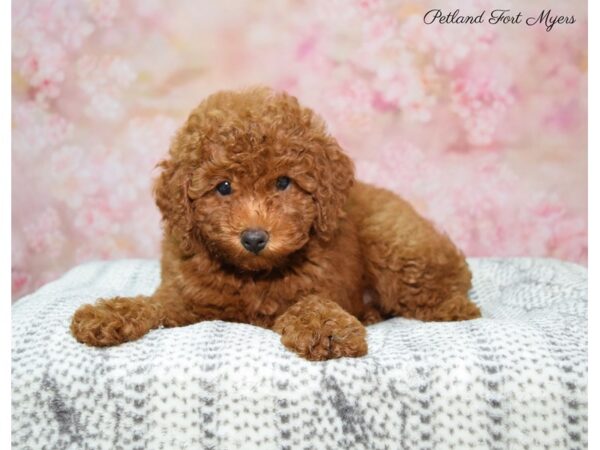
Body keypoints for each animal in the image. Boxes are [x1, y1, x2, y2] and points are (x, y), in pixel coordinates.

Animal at [71, 87, 482, 362]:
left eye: (283, 182)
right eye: (223, 187)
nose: (254, 238)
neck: (254, 275)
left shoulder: (322, 281)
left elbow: (311, 301)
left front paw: (326, 327)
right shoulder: (188, 300)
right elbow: (154, 303)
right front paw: (107, 313)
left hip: (394, 244)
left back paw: (453, 308)